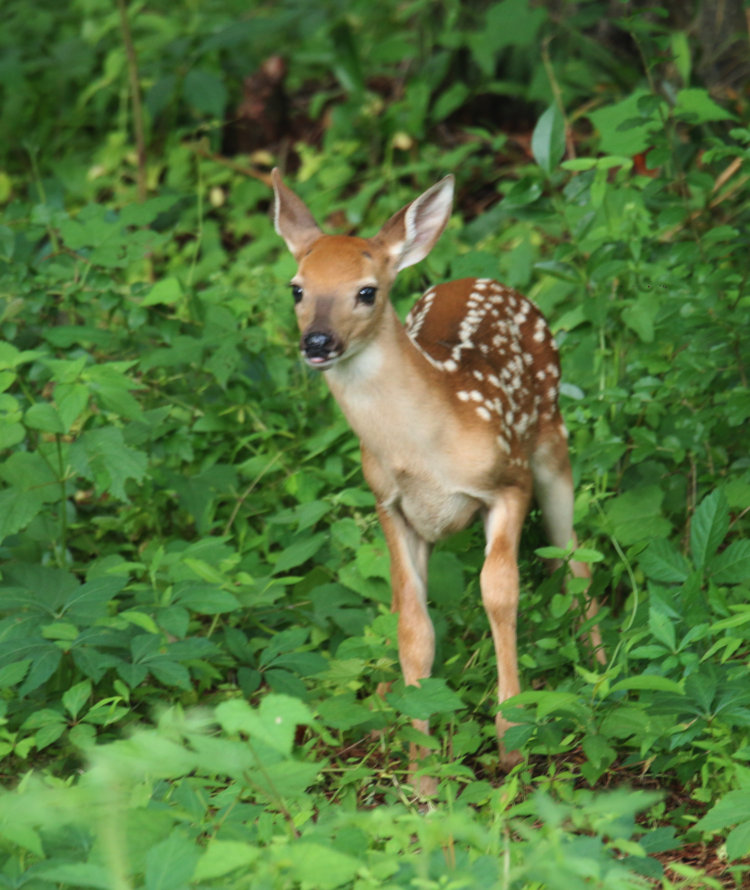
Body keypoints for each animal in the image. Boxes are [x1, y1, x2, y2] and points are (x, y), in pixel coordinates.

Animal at [271, 169, 603, 794]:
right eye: (297, 288)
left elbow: (500, 593)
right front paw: (421, 773)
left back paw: (597, 666)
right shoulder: (391, 505)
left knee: (573, 557)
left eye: (367, 291)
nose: (318, 343)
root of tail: (481, 275)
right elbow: (413, 627)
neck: (421, 450)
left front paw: (511, 742)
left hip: (552, 441)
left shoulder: (507, 482)